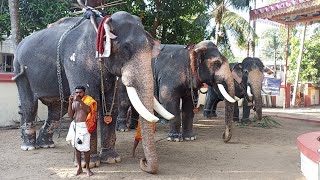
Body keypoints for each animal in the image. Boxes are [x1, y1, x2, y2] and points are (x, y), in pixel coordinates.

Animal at [12, 10, 172, 173]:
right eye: (126, 47)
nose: (142, 161)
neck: (101, 24)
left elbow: (111, 104)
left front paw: (111, 159)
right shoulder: (76, 62)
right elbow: (89, 101)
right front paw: (88, 163)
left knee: (57, 109)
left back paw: (46, 144)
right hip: (21, 72)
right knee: (29, 106)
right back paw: (29, 147)